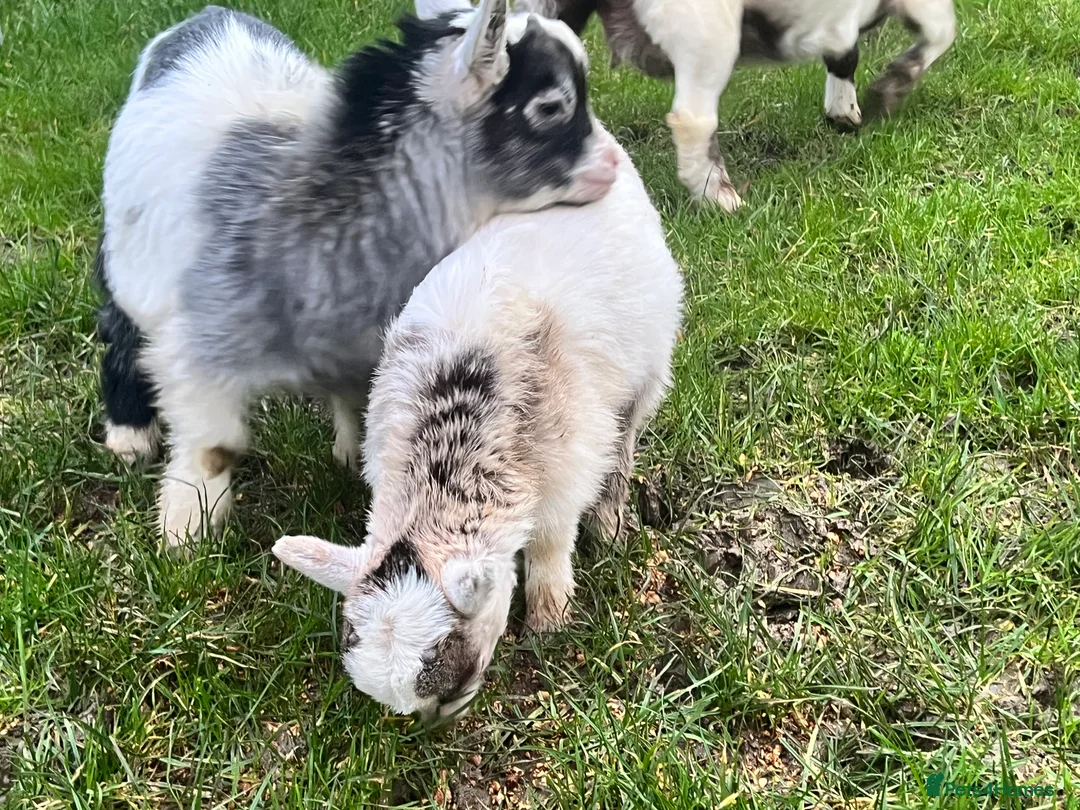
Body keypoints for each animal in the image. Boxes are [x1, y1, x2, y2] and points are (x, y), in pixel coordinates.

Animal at [96, 0, 621, 548]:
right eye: (550, 108)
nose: (613, 164)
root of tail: (208, 17)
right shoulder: (200, 354)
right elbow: (214, 447)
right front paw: (187, 532)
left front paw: (351, 455)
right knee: (119, 325)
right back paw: (129, 434)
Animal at [274, 137, 683, 720]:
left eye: (456, 682)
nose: (431, 728)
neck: (447, 453)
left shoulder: (567, 467)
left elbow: (549, 546)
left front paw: (549, 621)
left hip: (647, 369)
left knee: (625, 443)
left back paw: (608, 524)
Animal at [520, 0, 956, 211]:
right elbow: (942, 30)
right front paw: (890, 89)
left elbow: (844, 50)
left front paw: (843, 111)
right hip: (706, 29)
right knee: (692, 117)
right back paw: (720, 197)